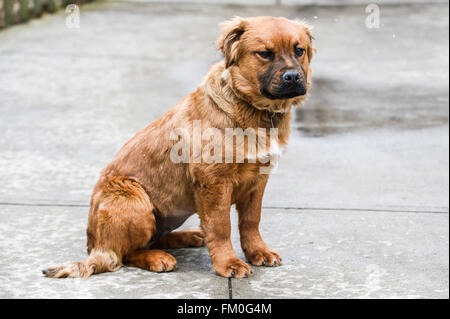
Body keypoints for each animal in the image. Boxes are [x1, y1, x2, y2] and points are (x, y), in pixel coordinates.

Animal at [44, 16, 314, 278]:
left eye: (299, 50)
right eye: (265, 54)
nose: (293, 77)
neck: (251, 108)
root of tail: (94, 245)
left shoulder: (258, 179)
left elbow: (251, 221)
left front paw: (258, 251)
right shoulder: (214, 181)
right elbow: (221, 226)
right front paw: (228, 263)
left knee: (152, 240)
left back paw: (186, 237)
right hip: (133, 197)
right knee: (123, 255)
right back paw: (157, 258)